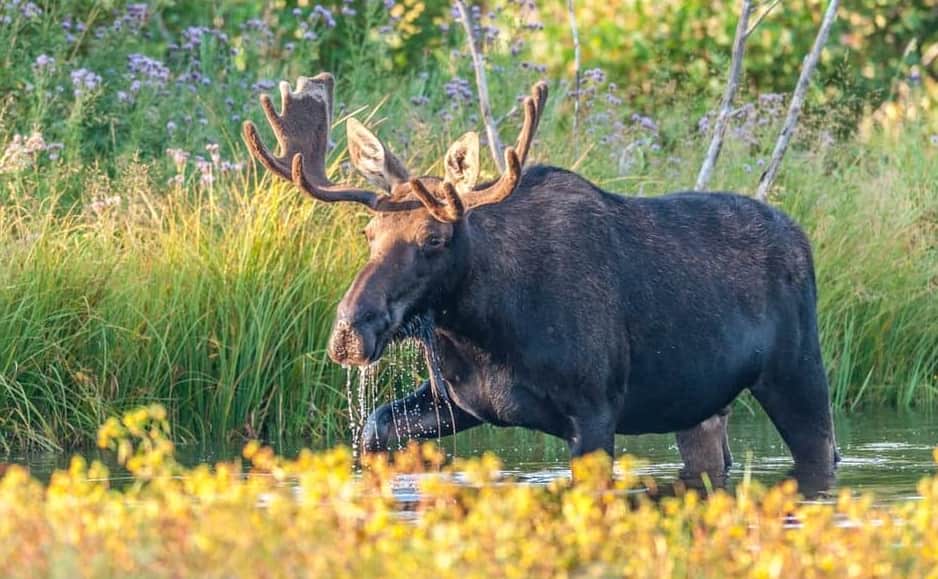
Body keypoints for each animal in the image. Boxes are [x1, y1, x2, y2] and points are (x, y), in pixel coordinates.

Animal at [239, 75, 832, 488]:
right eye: (368, 232)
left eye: (433, 238)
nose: (349, 331)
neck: (486, 328)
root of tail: (801, 237)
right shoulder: (459, 400)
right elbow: (375, 428)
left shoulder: (596, 408)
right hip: (701, 405)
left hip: (797, 371)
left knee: (822, 453)